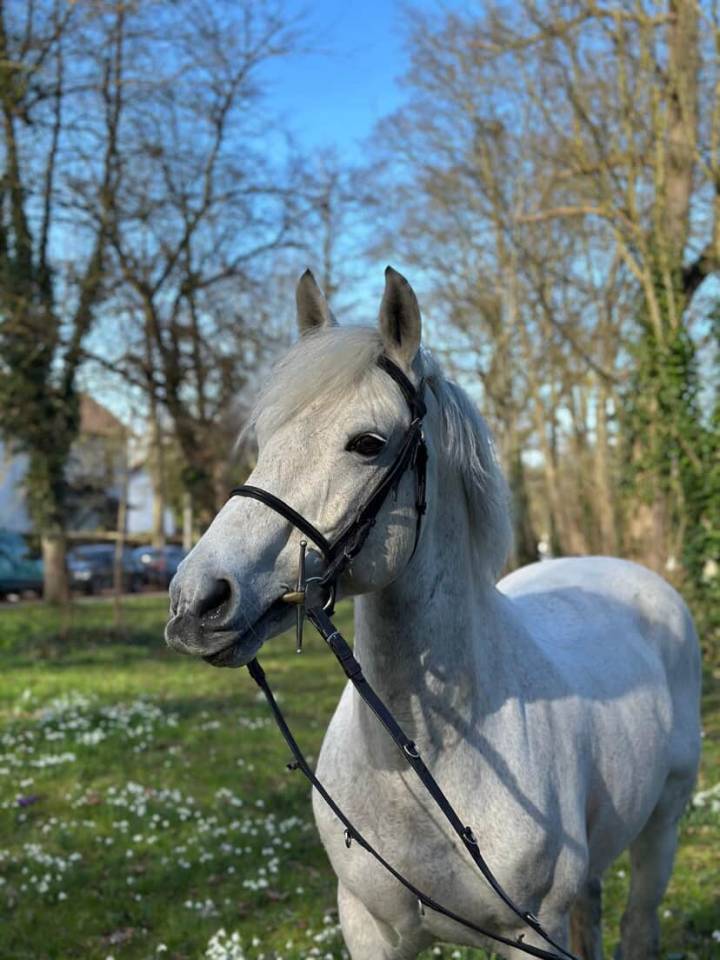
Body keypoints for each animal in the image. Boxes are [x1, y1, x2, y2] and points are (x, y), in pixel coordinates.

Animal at [165, 267, 702, 960]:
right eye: (263, 441)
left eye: (368, 444)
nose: (197, 600)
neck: (420, 761)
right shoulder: (369, 925)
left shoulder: (530, 933)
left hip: (662, 828)